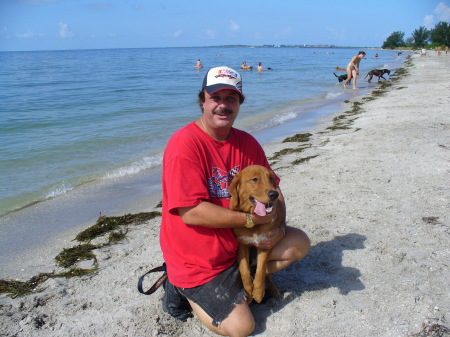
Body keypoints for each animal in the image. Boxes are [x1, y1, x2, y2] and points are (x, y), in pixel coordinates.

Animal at [230, 165, 284, 302]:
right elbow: (244, 270)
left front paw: (258, 292)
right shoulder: (242, 245)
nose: (274, 194)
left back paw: (273, 289)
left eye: (271, 178)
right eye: (255, 179)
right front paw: (249, 292)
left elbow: (261, 269)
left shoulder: (265, 243)